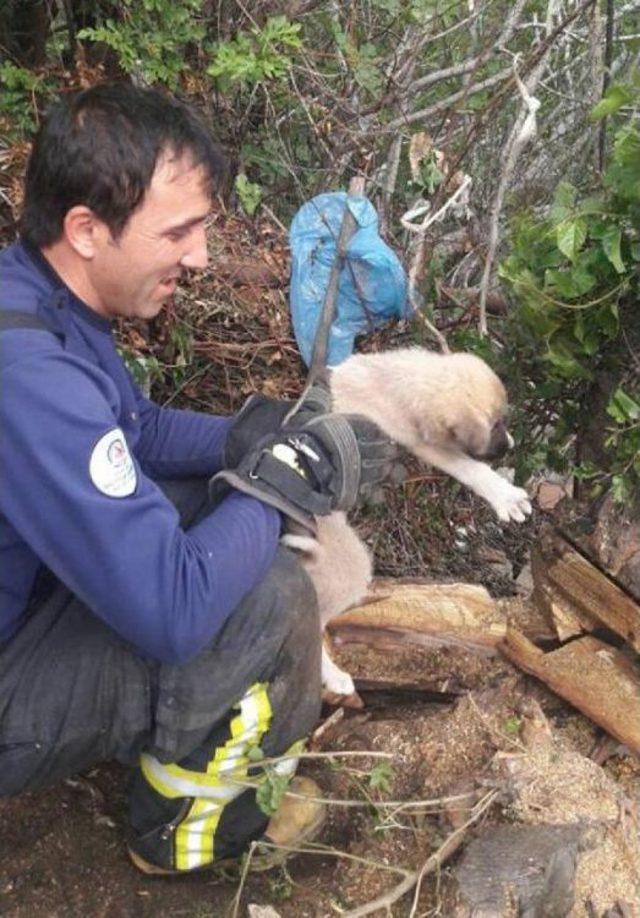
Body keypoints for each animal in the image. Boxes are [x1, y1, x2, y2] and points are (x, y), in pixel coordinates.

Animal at [284, 348, 528, 700]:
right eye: (495, 423)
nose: (510, 445)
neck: (395, 380)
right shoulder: (424, 442)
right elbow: (469, 467)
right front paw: (506, 497)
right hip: (350, 568)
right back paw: (335, 677)